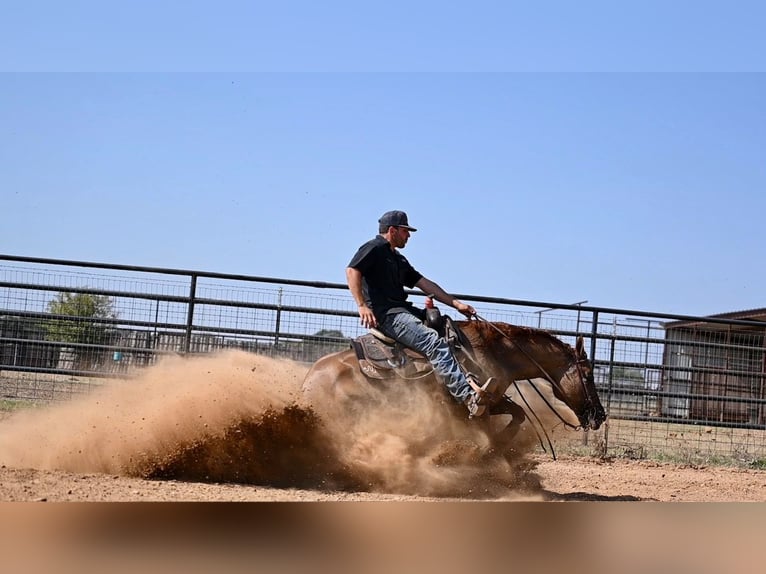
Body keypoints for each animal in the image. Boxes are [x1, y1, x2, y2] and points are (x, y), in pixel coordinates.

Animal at [300, 320, 608, 460]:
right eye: (588, 374)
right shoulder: (470, 406)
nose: (601, 415)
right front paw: (488, 450)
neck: (494, 352)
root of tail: (308, 382)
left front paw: (499, 445)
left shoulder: (492, 399)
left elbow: (519, 413)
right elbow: (494, 427)